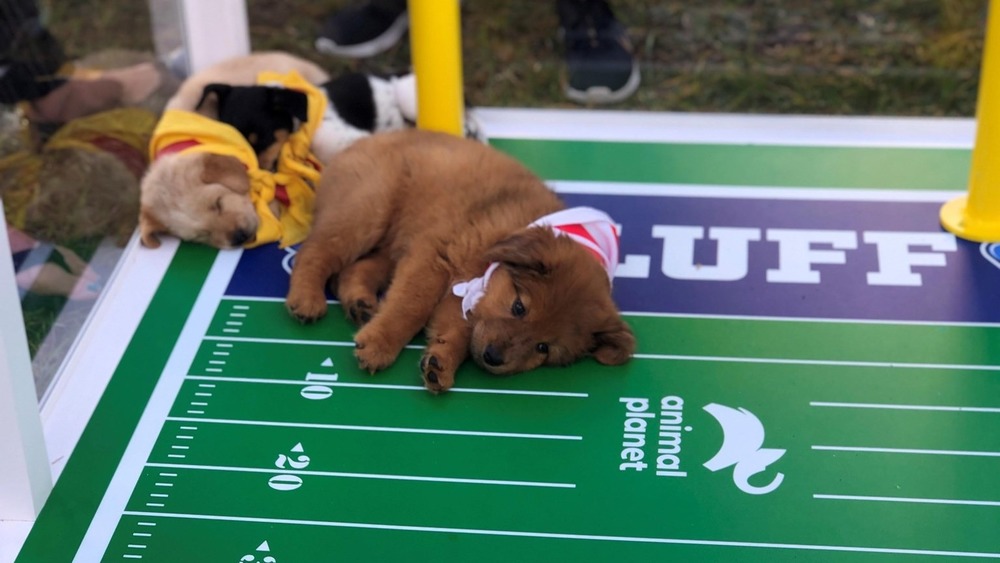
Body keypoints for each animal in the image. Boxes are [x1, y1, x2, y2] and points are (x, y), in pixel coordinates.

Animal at [286, 128, 636, 394]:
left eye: (543, 348)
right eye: (518, 308)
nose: (493, 357)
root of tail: (363, 141)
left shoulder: (458, 296)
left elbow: (460, 330)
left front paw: (440, 362)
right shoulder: (433, 259)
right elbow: (409, 308)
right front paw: (380, 344)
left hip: (392, 239)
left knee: (352, 269)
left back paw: (359, 302)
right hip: (367, 210)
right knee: (314, 252)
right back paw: (306, 299)